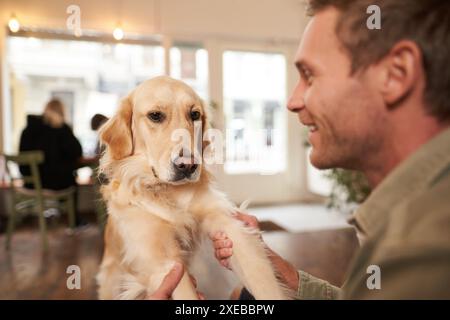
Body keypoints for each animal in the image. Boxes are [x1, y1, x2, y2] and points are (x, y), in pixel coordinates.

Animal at [96, 75, 290, 300]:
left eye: (194, 114)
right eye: (155, 116)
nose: (187, 165)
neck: (169, 192)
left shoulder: (229, 225)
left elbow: (263, 279)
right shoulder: (163, 259)